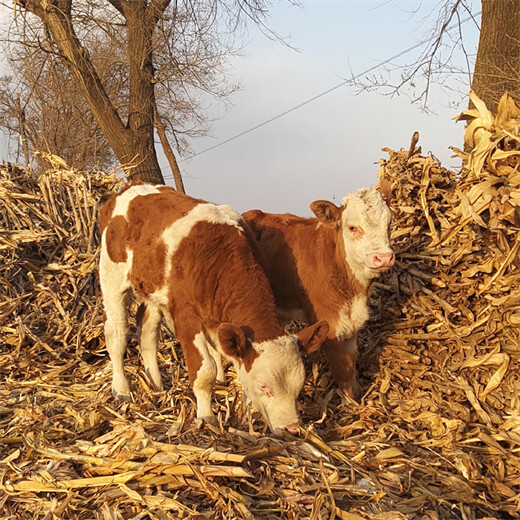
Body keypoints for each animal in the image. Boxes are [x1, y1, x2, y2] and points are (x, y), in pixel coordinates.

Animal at [97, 183, 330, 434]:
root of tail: (129, 188)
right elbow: (204, 371)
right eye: (263, 385)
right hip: (112, 276)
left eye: (299, 384)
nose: (292, 428)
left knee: (147, 332)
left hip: (153, 291)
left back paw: (156, 385)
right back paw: (121, 390)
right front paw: (206, 416)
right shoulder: (186, 316)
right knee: (117, 334)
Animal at [244, 183, 394, 398]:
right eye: (353, 227)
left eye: (389, 224)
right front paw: (350, 402)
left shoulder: (352, 324)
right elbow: (343, 367)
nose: (383, 257)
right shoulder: (327, 325)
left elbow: (353, 359)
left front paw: (356, 393)